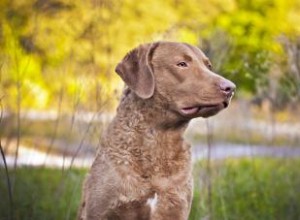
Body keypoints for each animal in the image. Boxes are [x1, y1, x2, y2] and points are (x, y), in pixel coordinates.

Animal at [78, 40, 237, 218]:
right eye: (182, 64)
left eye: (208, 66)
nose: (231, 88)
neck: (159, 140)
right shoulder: (100, 211)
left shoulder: (176, 207)